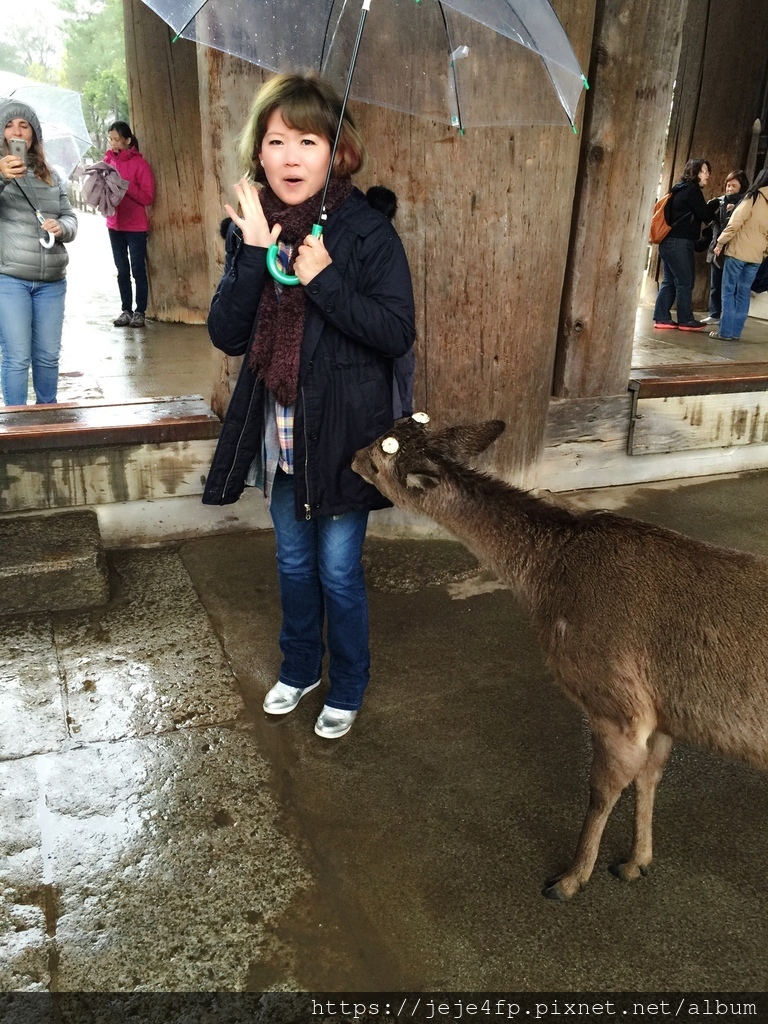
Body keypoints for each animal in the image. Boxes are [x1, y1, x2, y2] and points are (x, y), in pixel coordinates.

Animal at [354, 411, 768, 901]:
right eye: (389, 430)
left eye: (379, 457)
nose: (352, 457)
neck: (547, 583)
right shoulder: (666, 712)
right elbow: (650, 776)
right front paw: (636, 862)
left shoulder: (617, 703)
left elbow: (602, 790)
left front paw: (570, 879)